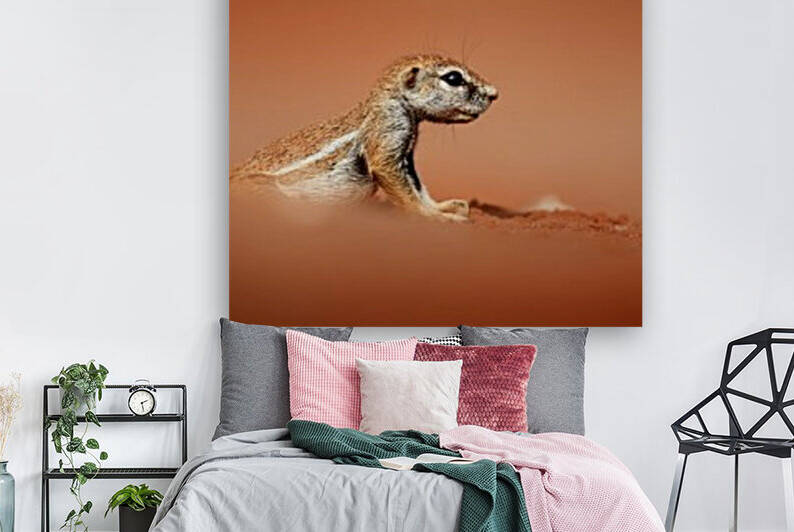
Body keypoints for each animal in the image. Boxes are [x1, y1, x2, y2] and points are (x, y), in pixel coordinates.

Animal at [230, 54, 498, 221]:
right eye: (453, 78)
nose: (495, 93)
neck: (389, 102)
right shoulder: (388, 133)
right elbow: (400, 185)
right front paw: (432, 216)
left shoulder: (406, 152)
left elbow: (417, 185)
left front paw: (442, 206)